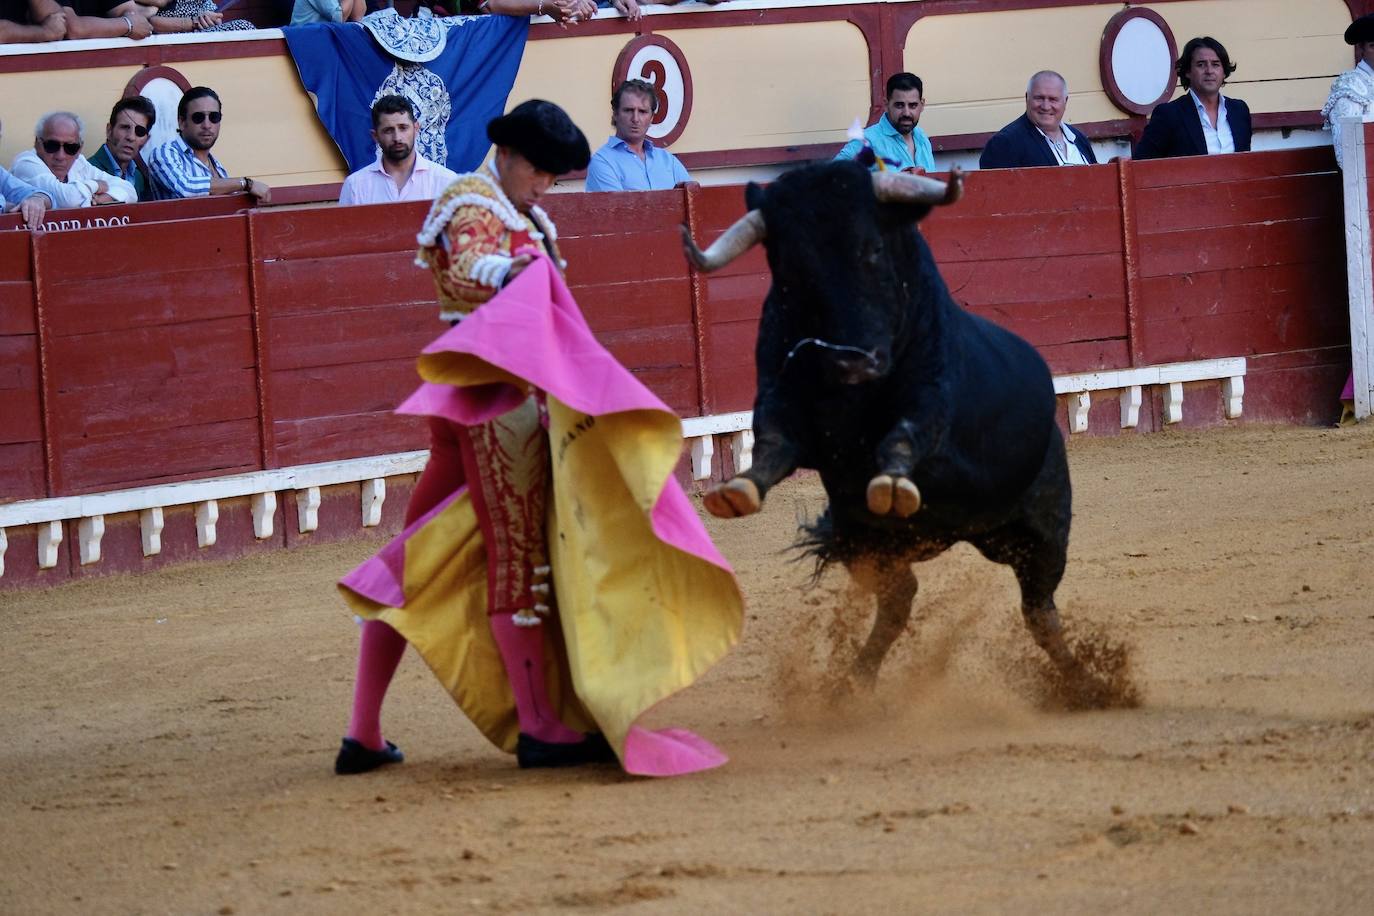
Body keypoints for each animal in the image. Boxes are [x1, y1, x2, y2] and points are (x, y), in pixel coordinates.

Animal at [681, 161, 1110, 697]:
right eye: (792, 269)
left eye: (873, 249)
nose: (853, 362)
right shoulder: (779, 398)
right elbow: (772, 444)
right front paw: (737, 491)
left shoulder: (930, 399)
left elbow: (905, 432)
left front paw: (890, 485)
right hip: (864, 545)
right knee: (900, 600)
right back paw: (852, 683)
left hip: (1044, 530)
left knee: (1039, 609)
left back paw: (1090, 685)